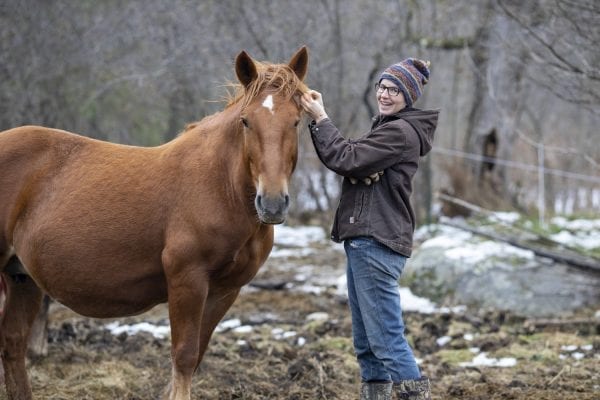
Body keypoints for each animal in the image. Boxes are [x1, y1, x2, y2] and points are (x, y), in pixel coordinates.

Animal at [0, 45, 310, 398]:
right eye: (246, 121)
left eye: (296, 121)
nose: (272, 203)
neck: (219, 187)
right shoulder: (186, 280)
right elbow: (184, 356)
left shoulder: (224, 291)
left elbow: (196, 355)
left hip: (22, 277)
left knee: (13, 344)